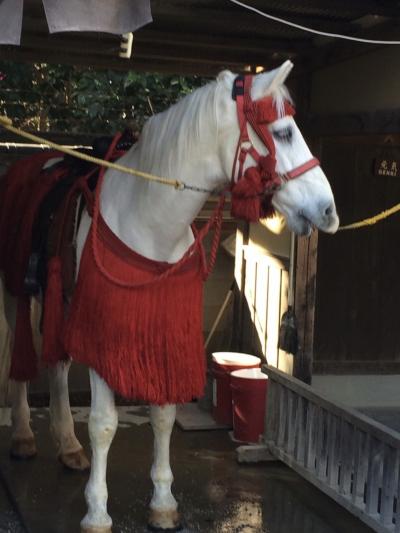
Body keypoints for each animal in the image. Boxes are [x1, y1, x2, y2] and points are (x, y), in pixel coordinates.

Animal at [3, 60, 340, 528]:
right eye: (285, 132)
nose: (328, 210)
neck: (149, 220)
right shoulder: (106, 335)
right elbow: (104, 423)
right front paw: (97, 512)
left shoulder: (163, 334)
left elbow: (163, 418)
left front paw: (163, 502)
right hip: (16, 291)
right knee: (18, 354)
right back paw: (21, 435)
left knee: (57, 364)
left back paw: (68, 445)